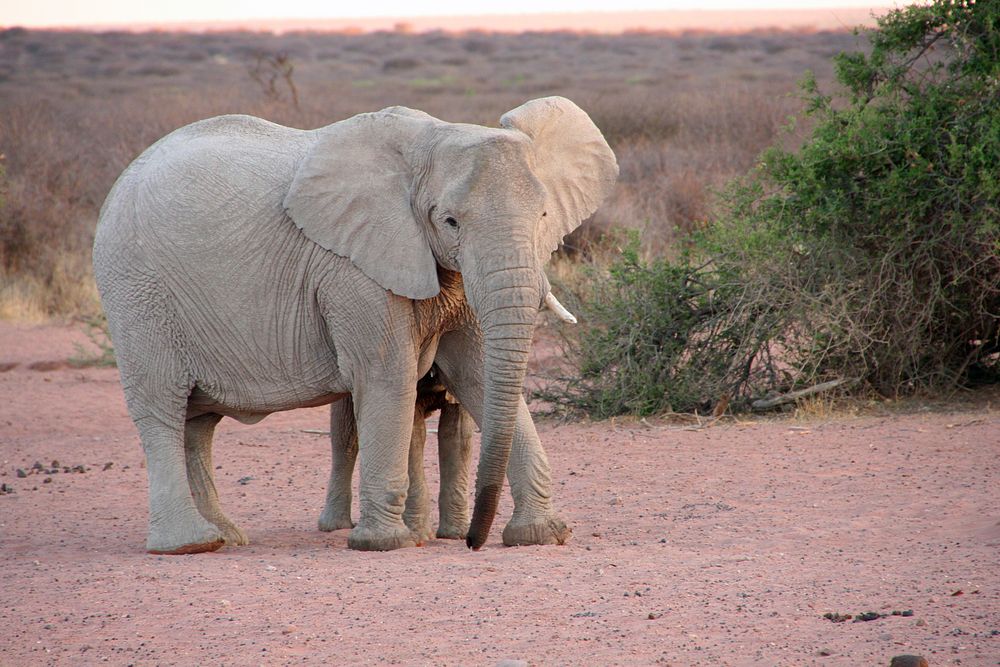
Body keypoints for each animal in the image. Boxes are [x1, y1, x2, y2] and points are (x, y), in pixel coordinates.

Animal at [94, 94, 616, 552]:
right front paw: (383, 544)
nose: (473, 542)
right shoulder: (351, 267)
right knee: (162, 406)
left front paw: (541, 535)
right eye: (449, 221)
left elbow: (477, 372)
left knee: (198, 424)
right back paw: (190, 545)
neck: (433, 139)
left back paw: (226, 536)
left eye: (544, 214)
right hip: (136, 291)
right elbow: (387, 374)